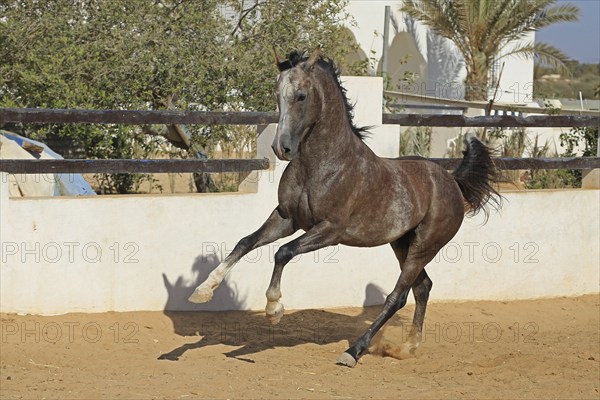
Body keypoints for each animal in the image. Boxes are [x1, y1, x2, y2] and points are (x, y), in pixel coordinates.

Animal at [190, 49, 500, 366]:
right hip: (402, 243)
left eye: (301, 95)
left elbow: (282, 252)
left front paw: (274, 309)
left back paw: (353, 351)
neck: (322, 164)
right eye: (277, 94)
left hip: (425, 246)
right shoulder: (287, 218)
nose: (282, 148)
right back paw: (409, 346)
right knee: (422, 287)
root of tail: (452, 181)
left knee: (398, 296)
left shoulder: (330, 230)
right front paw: (202, 291)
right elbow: (245, 242)